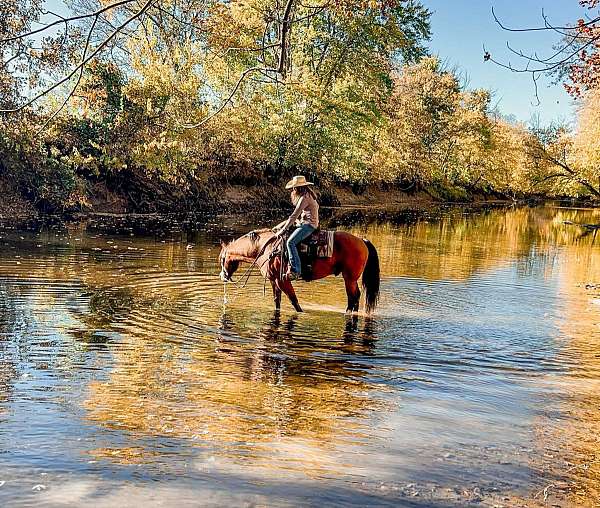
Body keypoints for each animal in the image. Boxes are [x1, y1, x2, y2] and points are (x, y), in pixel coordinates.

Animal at [219, 229, 380, 314]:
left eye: (221, 258)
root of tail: (361, 240)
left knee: (354, 296)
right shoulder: (274, 280)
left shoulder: (283, 280)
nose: (223, 277)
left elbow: (293, 300)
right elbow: (277, 301)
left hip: (350, 278)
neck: (265, 249)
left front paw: (301, 313)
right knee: (354, 296)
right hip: (350, 278)